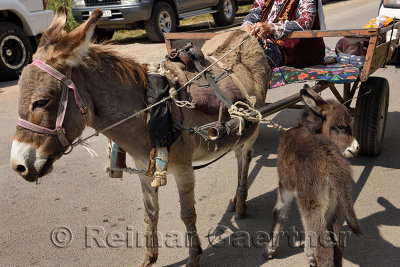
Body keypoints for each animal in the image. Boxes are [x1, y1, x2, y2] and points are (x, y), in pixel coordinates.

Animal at [266, 87, 362, 266]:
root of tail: (334, 168)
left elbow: (278, 213)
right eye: (341, 127)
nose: (357, 148)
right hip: (335, 206)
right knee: (338, 244)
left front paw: (270, 250)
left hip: (314, 205)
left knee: (325, 248)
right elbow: (306, 229)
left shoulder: (285, 186)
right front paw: (310, 255)